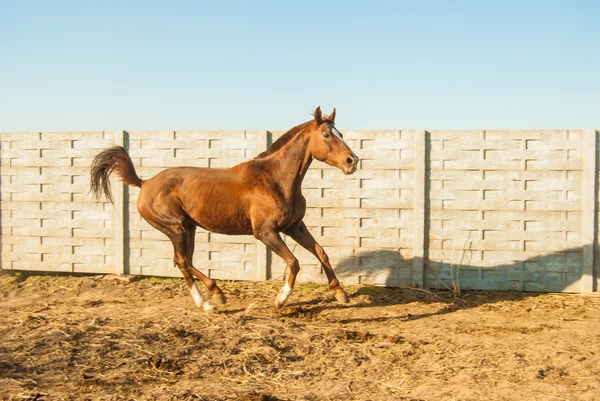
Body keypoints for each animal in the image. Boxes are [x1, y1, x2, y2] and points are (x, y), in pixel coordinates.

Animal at [91, 106, 358, 310]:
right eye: (326, 135)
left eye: (339, 133)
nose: (352, 161)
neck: (275, 179)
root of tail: (144, 183)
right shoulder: (265, 233)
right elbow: (293, 262)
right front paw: (281, 300)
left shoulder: (294, 226)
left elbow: (321, 252)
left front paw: (340, 293)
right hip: (175, 228)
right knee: (182, 261)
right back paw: (211, 299)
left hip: (189, 229)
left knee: (182, 261)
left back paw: (211, 297)